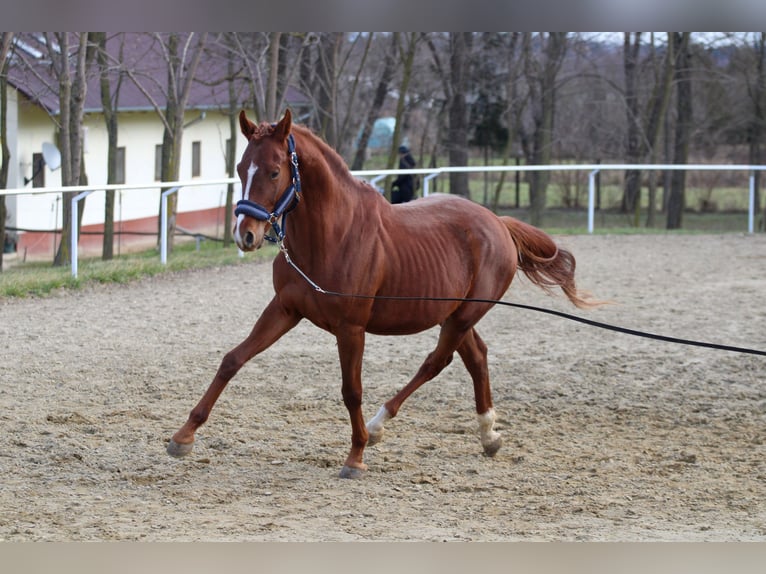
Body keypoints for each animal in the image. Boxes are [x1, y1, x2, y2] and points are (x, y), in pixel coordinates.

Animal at [170, 110, 592, 480]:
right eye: (242, 168)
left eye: (274, 171)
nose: (246, 235)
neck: (331, 236)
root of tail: (497, 223)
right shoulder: (285, 309)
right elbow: (233, 359)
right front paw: (183, 437)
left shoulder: (351, 328)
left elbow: (351, 390)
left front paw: (355, 457)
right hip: (454, 313)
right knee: (476, 357)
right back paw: (488, 435)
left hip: (462, 316)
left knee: (436, 361)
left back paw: (378, 425)